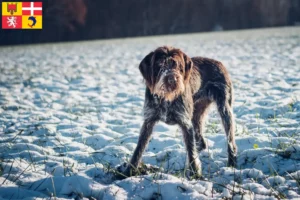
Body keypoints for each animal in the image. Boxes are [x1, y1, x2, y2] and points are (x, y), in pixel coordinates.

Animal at [119, 45, 237, 178]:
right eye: (160, 65)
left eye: (178, 65)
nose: (172, 79)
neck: (166, 98)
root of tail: (219, 63)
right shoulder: (148, 121)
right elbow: (139, 148)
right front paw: (129, 170)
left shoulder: (185, 122)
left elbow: (191, 151)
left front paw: (195, 174)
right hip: (197, 114)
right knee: (200, 141)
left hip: (225, 109)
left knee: (230, 140)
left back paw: (231, 162)